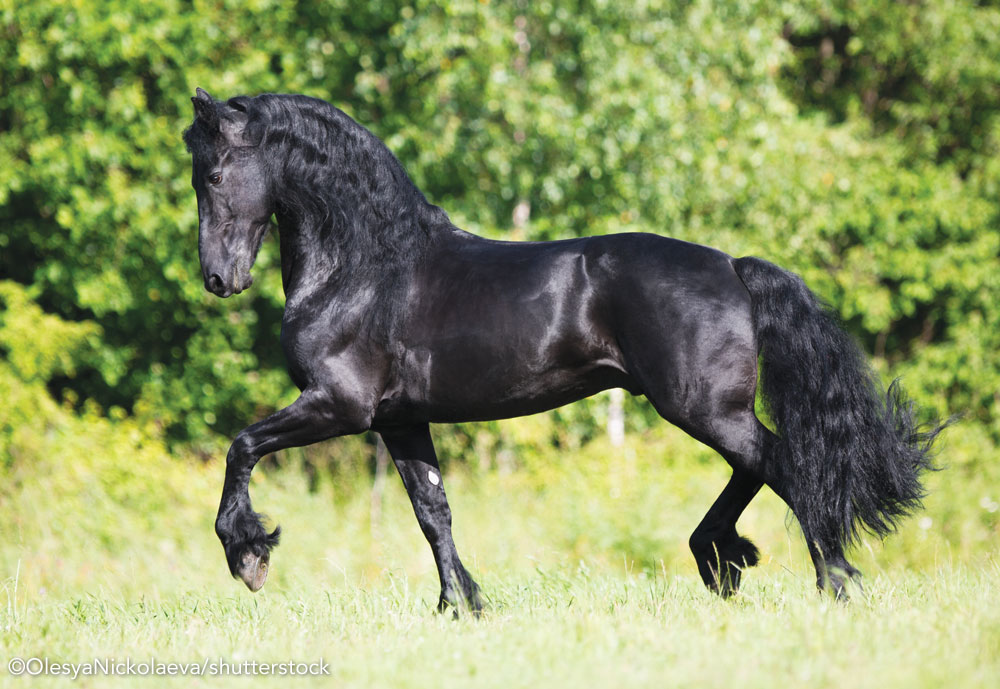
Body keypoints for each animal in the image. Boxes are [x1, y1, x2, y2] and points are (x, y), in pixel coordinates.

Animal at [184, 87, 940, 608]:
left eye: (214, 175)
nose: (219, 279)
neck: (365, 269)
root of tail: (733, 265)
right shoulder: (399, 421)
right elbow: (433, 511)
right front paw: (460, 605)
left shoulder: (337, 407)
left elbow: (241, 447)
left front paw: (248, 555)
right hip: (709, 410)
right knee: (758, 466)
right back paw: (722, 556)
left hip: (701, 407)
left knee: (783, 463)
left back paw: (827, 577)